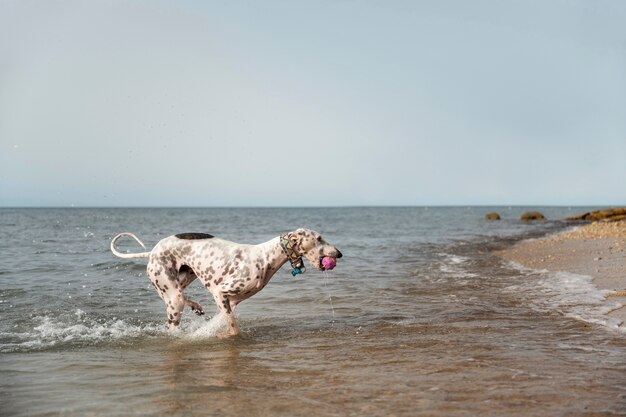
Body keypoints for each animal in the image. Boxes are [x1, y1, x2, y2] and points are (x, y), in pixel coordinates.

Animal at [111, 228, 342, 334]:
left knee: (183, 294)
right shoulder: (220, 292)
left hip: (186, 277)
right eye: (319, 238)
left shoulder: (232, 301)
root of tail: (152, 252)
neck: (265, 257)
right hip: (171, 293)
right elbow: (233, 327)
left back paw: (196, 306)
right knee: (176, 309)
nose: (339, 254)